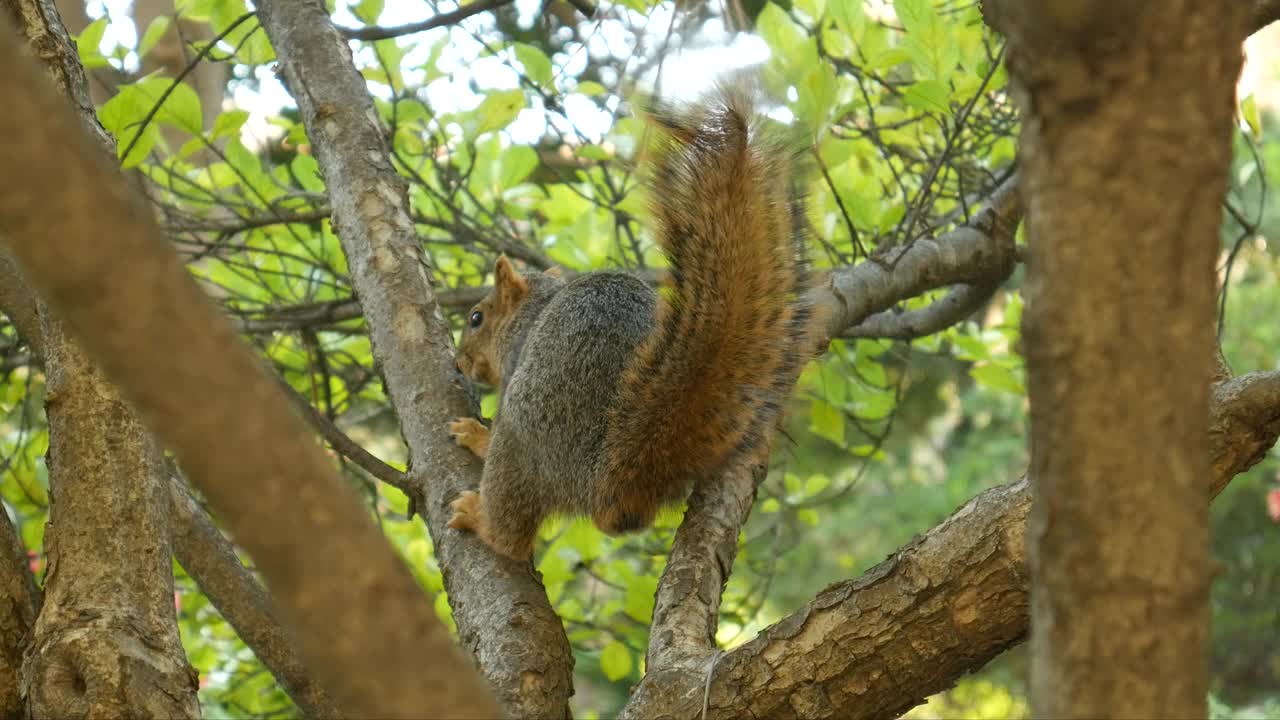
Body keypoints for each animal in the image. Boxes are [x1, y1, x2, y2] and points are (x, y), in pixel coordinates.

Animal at [442, 81, 819, 558]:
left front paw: (476, 434)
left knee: (510, 527)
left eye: (476, 318)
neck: (534, 309)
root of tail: (605, 478)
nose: (458, 362)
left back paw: (481, 518)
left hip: (524, 430)